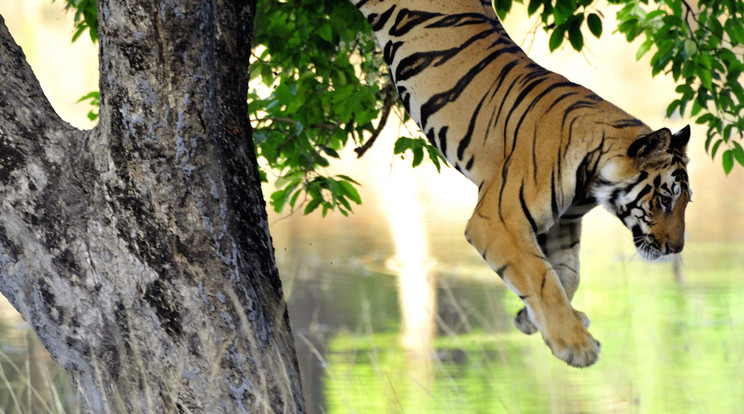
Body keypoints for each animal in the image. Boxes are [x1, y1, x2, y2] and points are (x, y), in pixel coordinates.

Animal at [352, 0, 688, 368]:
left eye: (685, 202)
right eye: (666, 200)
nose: (677, 249)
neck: (592, 179)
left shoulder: (562, 223)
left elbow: (566, 273)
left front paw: (532, 319)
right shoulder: (499, 222)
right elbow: (542, 278)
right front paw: (576, 345)